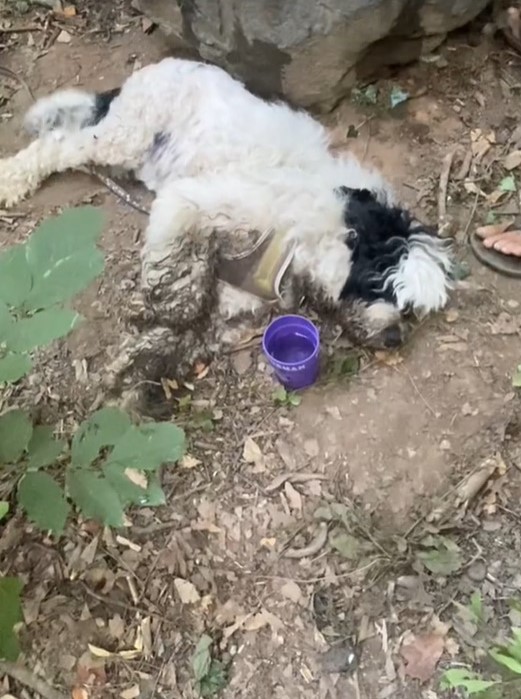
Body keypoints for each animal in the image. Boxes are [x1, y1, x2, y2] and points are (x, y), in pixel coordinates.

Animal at [0, 57, 452, 396]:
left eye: (409, 311)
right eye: (385, 291)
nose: (396, 338)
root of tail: (154, 69)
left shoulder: (240, 294)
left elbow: (193, 330)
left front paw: (144, 363)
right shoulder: (188, 201)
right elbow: (180, 285)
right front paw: (162, 309)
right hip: (122, 138)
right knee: (58, 144)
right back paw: (12, 180)